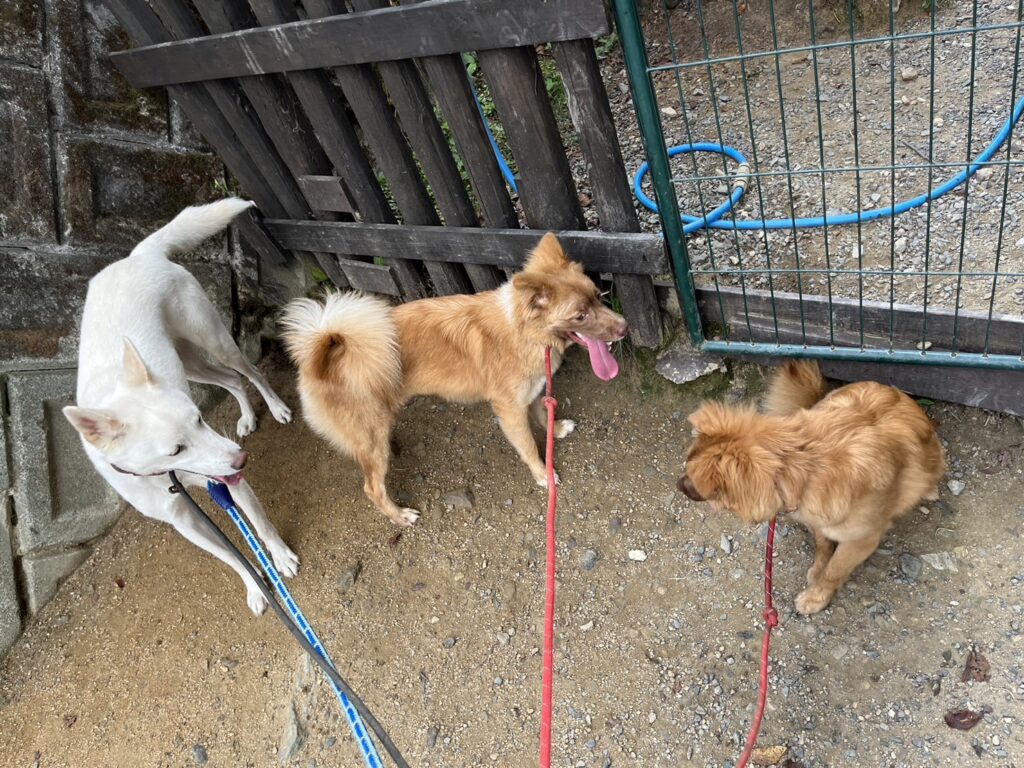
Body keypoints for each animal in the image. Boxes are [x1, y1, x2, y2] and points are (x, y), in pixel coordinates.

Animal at [63, 199, 297, 615]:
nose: (241, 459)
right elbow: (230, 557)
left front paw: (281, 556)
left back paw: (276, 407)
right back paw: (247, 417)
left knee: (249, 370)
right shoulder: (184, 521)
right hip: (188, 364)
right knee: (231, 381)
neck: (166, 476)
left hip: (212, 339)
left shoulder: (226, 481)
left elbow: (262, 525)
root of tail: (138, 255)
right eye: (175, 449)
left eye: (200, 419)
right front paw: (255, 587)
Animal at [280, 233, 628, 526]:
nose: (625, 327)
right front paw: (543, 474)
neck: (524, 332)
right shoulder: (509, 410)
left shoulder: (530, 393)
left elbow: (543, 413)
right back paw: (399, 516)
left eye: (598, 296)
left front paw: (555, 430)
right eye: (580, 315)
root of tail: (323, 352)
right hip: (370, 437)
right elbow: (528, 446)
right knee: (372, 488)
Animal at [677, 360, 944, 614]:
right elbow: (822, 545)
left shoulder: (861, 540)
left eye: (693, 478)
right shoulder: (817, 516)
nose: (678, 485)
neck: (802, 462)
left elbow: (834, 571)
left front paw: (817, 596)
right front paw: (817, 570)